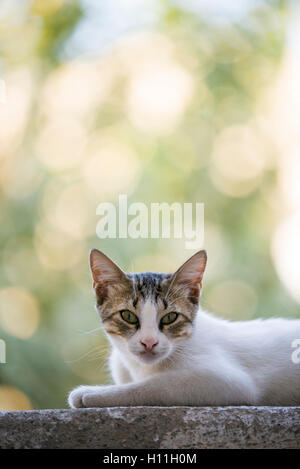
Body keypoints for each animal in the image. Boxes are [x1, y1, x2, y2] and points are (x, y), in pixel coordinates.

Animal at [68, 249, 300, 406]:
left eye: (170, 317)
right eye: (128, 316)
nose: (149, 342)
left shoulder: (230, 382)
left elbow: (159, 385)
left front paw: (92, 393)